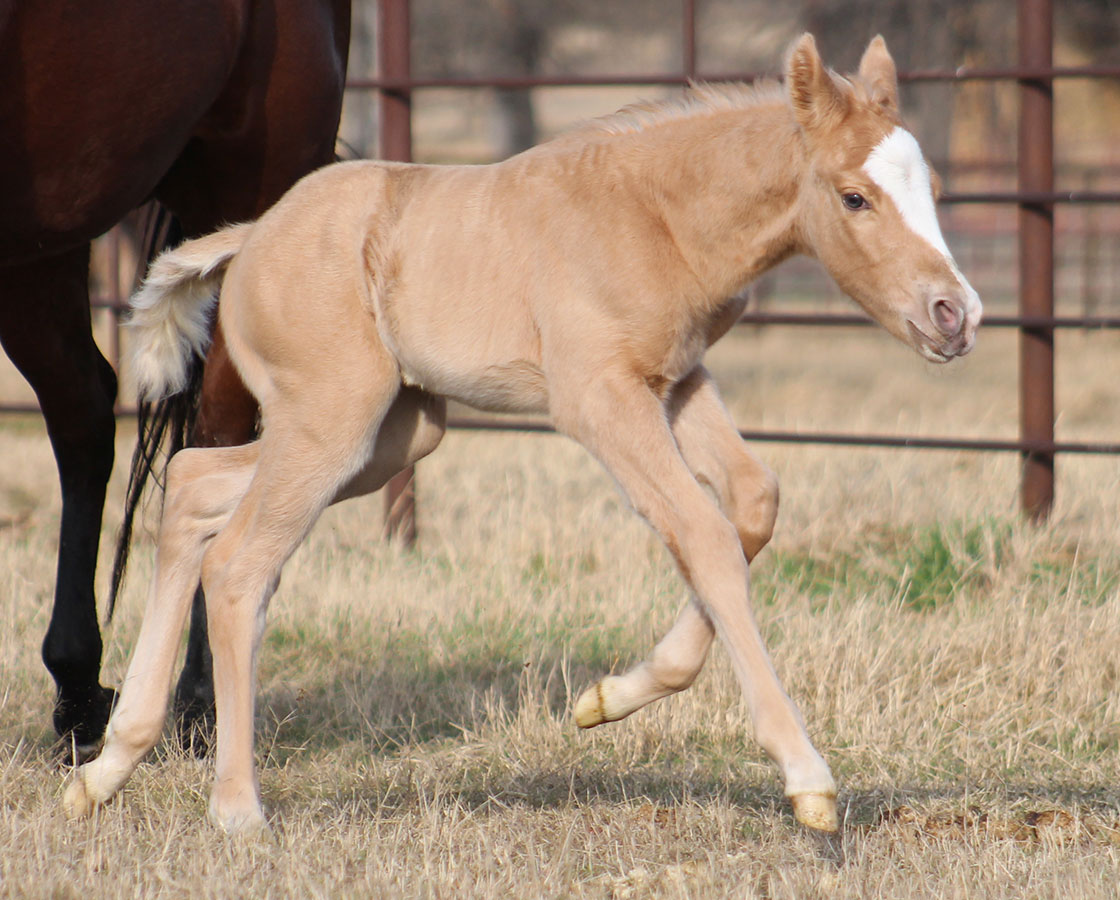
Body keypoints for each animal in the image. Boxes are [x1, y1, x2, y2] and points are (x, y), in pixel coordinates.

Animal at [0, 0, 349, 756]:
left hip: (245, 189)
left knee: (211, 438)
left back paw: (195, 700)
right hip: (46, 235)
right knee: (84, 410)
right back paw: (79, 693)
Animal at [67, 36, 981, 837]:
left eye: (933, 188)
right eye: (854, 196)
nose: (956, 314)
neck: (658, 216)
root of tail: (251, 236)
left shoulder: (675, 381)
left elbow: (752, 503)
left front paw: (609, 699)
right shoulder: (598, 400)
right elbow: (705, 536)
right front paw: (807, 779)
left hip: (392, 436)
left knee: (193, 487)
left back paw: (106, 769)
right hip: (331, 423)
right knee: (239, 565)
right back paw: (235, 809)